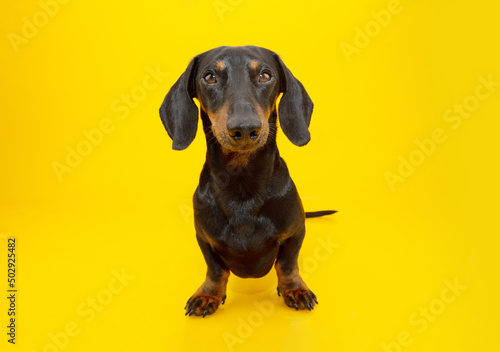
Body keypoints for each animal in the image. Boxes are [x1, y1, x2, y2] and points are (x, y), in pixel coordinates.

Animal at [158, 45, 334, 318]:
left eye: (265, 75)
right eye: (209, 77)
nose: (243, 129)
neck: (242, 183)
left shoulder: (296, 232)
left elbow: (287, 264)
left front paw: (295, 289)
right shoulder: (203, 238)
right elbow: (216, 270)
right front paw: (208, 294)